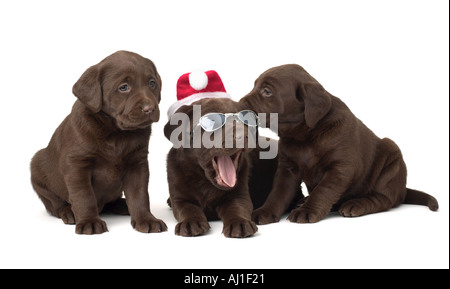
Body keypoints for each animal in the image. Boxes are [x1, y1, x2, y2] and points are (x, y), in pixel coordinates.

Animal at [30, 50, 167, 234]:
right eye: (124, 87)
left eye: (152, 83)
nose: (150, 109)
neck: (116, 133)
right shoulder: (77, 165)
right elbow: (84, 196)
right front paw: (89, 222)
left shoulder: (137, 163)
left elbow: (140, 195)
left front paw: (146, 219)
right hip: (37, 169)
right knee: (55, 204)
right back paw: (69, 212)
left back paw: (123, 205)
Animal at [164, 71, 256, 237]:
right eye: (213, 121)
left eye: (245, 120)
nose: (242, 135)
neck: (204, 181)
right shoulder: (181, 199)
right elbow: (189, 209)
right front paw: (191, 223)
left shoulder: (239, 195)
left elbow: (237, 208)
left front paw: (240, 223)